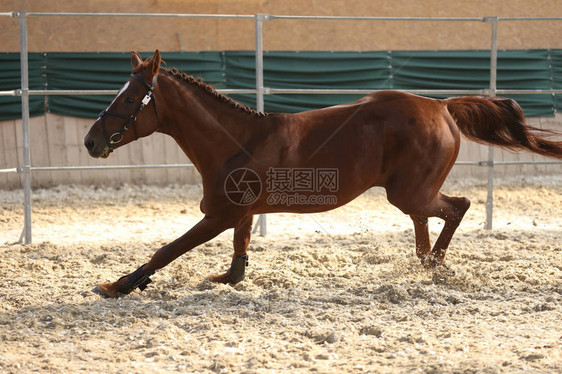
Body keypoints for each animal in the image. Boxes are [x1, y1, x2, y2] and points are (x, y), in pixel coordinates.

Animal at [83, 51, 560, 300]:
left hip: (410, 191)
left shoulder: (219, 215)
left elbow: (168, 249)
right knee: (427, 219)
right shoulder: (240, 213)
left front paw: (118, 284)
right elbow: (238, 259)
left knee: (456, 208)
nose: (90, 141)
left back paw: (434, 266)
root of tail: (442, 106)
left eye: (130, 99)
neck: (238, 141)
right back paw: (424, 267)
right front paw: (221, 279)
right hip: (411, 191)